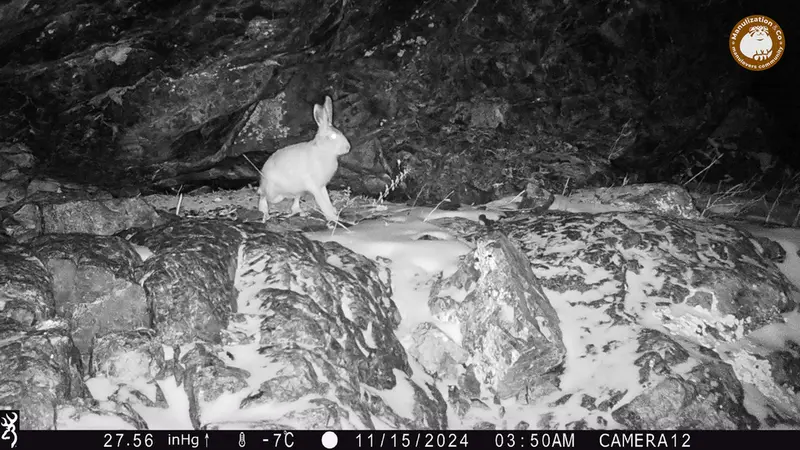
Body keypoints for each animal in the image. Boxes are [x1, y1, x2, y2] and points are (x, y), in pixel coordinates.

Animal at [257, 95, 351, 223]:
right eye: (332, 136)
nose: (348, 148)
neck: (322, 150)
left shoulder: (322, 186)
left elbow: (326, 198)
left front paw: (334, 212)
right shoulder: (314, 185)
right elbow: (322, 201)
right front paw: (332, 217)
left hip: (296, 192)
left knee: (295, 202)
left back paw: (300, 212)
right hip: (274, 194)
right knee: (263, 196)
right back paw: (265, 214)